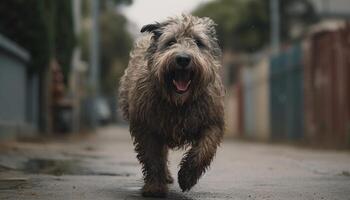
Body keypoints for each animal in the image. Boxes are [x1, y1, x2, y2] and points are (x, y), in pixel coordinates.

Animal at [119, 14, 224, 197]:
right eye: (171, 41)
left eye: (198, 42)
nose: (183, 58)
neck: (178, 102)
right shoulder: (147, 127)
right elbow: (153, 158)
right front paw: (155, 187)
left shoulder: (212, 122)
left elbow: (204, 149)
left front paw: (187, 176)